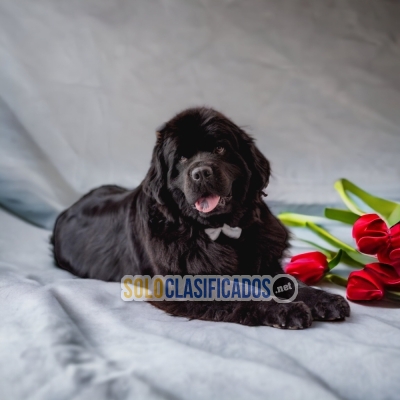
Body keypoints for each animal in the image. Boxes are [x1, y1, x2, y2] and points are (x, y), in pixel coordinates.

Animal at [51, 106, 348, 328]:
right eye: (182, 158)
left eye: (219, 149)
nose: (201, 172)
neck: (219, 229)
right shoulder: (182, 285)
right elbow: (239, 296)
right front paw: (286, 311)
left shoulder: (264, 261)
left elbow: (290, 282)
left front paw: (324, 300)